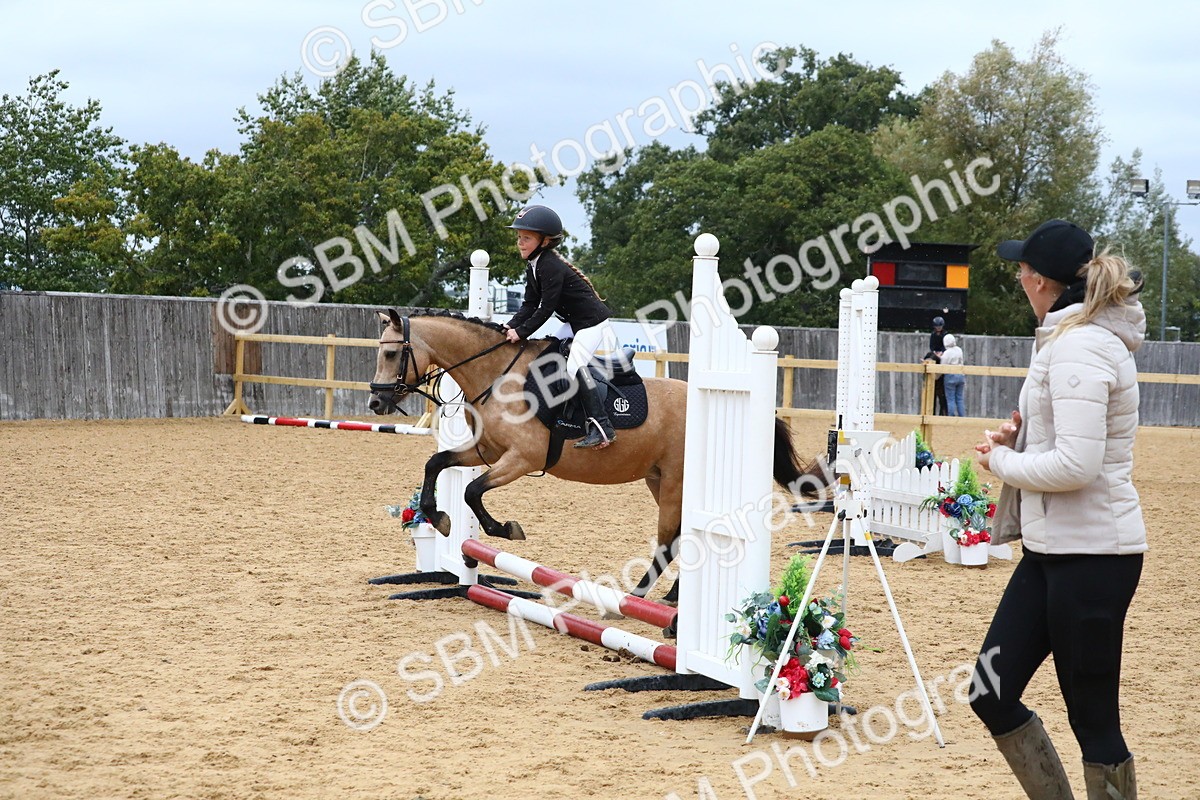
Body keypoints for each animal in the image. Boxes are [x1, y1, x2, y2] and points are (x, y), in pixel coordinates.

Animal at [368, 308, 829, 600]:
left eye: (391, 353)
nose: (375, 403)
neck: (498, 375)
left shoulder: (521, 459)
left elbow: (472, 492)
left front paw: (506, 529)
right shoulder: (485, 451)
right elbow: (437, 465)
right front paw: (440, 518)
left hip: (676, 481)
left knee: (670, 539)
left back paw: (642, 597)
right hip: (658, 479)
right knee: (683, 538)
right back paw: (671, 596)